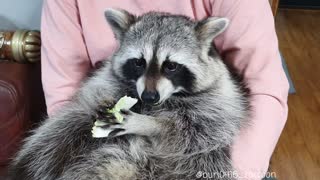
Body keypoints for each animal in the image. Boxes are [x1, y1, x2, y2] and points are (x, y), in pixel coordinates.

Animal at [9, 8, 250, 180]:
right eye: (139, 62)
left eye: (171, 66)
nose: (149, 97)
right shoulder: (108, 83)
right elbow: (91, 101)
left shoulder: (218, 103)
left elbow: (191, 133)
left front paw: (150, 125)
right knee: (59, 133)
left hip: (202, 164)